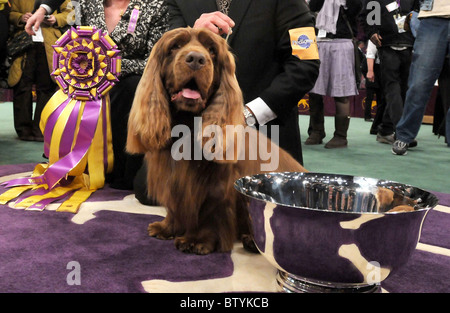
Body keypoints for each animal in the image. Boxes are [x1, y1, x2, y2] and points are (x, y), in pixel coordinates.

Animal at [126, 28, 306, 254]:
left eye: (211, 50)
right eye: (175, 46)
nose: (196, 59)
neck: (186, 125)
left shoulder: (216, 186)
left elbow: (210, 212)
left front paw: (197, 240)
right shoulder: (172, 179)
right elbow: (175, 207)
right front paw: (167, 228)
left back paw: (252, 240)